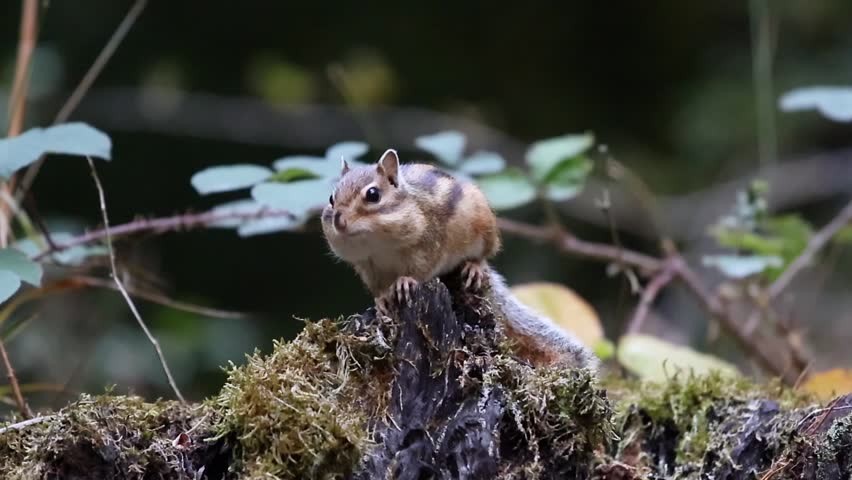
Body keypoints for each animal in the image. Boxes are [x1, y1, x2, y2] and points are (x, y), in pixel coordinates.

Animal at [320, 148, 597, 370]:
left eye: (373, 195)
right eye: (332, 198)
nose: (339, 220)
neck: (379, 245)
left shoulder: (428, 247)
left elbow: (420, 270)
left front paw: (405, 282)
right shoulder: (367, 265)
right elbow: (377, 288)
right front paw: (380, 301)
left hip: (484, 226)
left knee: (483, 255)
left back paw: (474, 267)